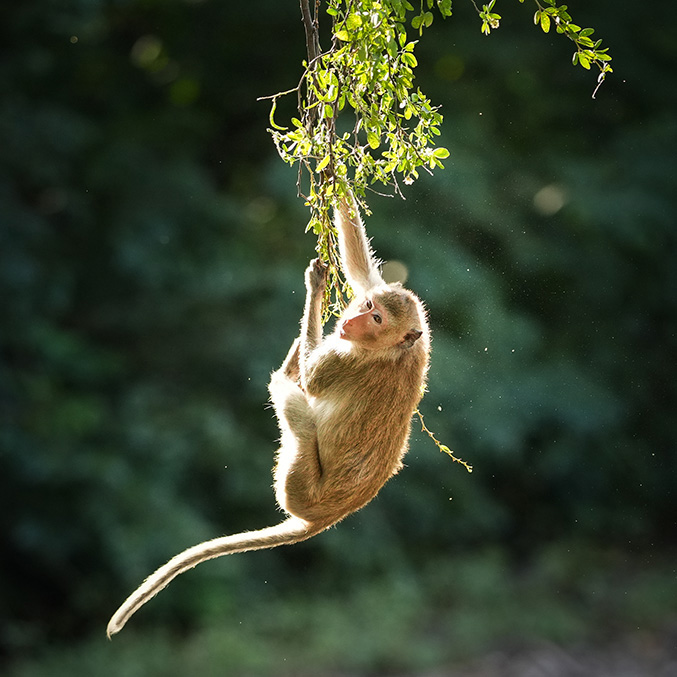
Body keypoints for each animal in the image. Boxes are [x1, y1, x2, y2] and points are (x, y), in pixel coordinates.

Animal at [106, 194, 430, 638]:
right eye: (369, 305)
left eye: (377, 319)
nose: (352, 321)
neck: (394, 347)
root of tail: (323, 519)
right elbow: (359, 262)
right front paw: (335, 177)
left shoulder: (347, 360)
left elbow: (313, 382)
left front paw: (314, 297)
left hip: (297, 485)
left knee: (293, 403)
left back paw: (286, 373)